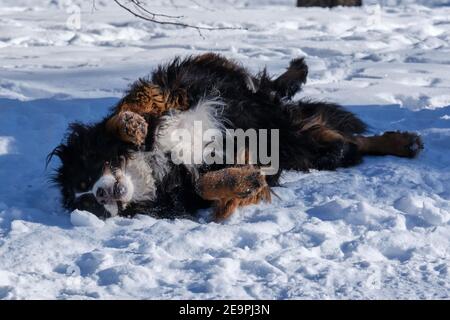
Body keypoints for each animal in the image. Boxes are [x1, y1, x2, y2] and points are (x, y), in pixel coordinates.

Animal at [47, 53, 424, 221]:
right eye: (87, 203)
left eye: (86, 177)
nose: (101, 192)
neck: (154, 165)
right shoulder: (188, 188)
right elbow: (206, 184)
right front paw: (244, 182)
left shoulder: (177, 91)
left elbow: (130, 107)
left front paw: (132, 126)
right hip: (305, 146)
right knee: (346, 143)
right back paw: (402, 144)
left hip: (268, 108)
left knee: (270, 86)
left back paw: (296, 70)